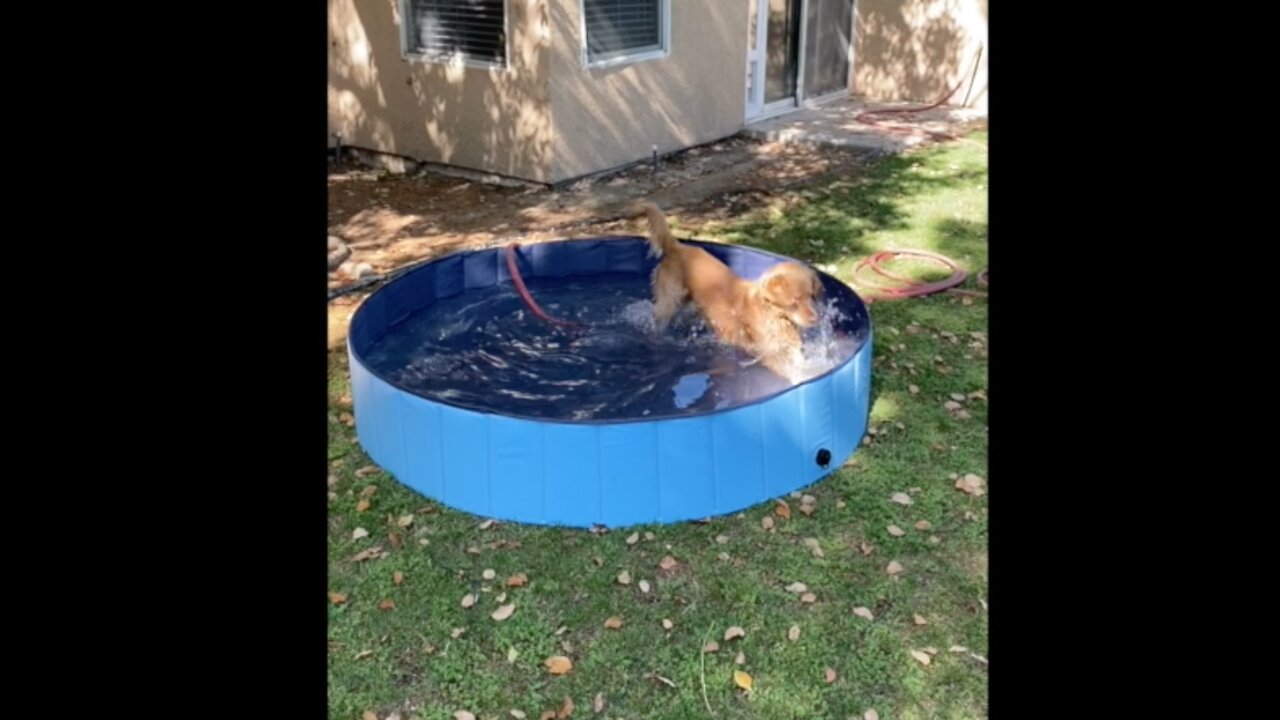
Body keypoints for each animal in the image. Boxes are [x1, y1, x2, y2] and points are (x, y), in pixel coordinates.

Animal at [637, 198, 819, 384]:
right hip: (668, 302)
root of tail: (676, 246)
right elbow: (794, 372)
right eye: (795, 301)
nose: (815, 318)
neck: (771, 312)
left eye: (811, 296)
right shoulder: (770, 353)